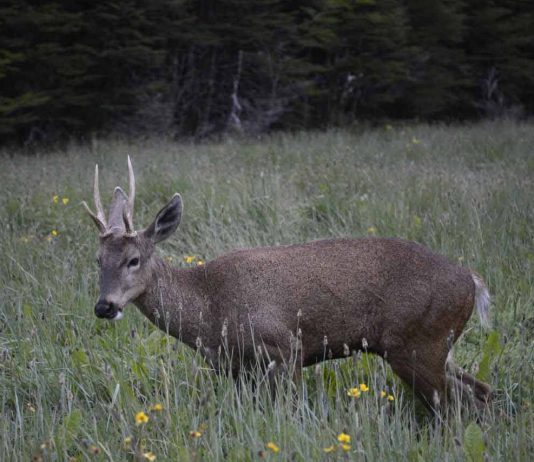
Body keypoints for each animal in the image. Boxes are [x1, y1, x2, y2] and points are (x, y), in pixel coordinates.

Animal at [84, 157, 494, 414]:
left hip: (418, 343)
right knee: (481, 393)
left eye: (133, 260)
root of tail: (472, 280)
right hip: (433, 347)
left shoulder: (284, 347)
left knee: (454, 408)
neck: (210, 310)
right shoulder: (234, 369)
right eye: (98, 260)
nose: (104, 306)